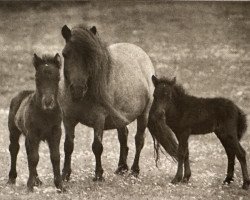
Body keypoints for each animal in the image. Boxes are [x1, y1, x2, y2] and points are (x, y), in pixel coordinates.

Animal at [7, 53, 65, 192]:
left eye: (58, 78)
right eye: (37, 79)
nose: (48, 102)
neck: (46, 114)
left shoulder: (56, 132)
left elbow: (55, 157)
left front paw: (60, 186)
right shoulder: (33, 133)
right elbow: (34, 158)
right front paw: (29, 186)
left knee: (29, 151)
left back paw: (37, 180)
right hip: (14, 131)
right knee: (14, 149)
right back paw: (12, 178)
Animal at [59, 24, 179, 181]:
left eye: (91, 57)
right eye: (65, 54)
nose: (77, 89)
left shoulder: (99, 119)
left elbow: (97, 147)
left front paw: (98, 175)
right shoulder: (68, 119)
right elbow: (68, 146)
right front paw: (65, 175)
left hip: (144, 115)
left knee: (139, 140)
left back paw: (134, 170)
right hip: (120, 118)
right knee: (123, 137)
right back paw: (122, 167)